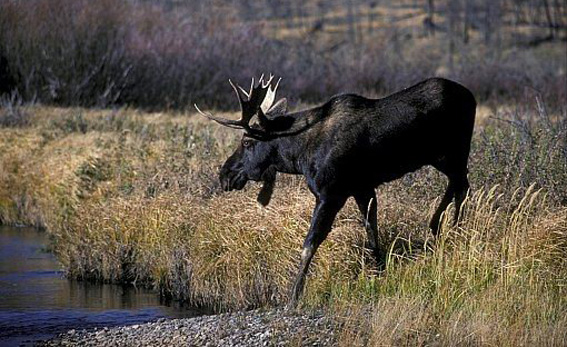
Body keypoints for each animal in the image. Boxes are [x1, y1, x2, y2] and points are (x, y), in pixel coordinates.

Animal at [197, 75, 478, 306]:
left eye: (247, 142)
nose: (225, 175)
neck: (299, 156)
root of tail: (472, 97)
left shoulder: (331, 193)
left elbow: (310, 242)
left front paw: (294, 296)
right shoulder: (363, 188)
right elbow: (371, 229)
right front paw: (379, 271)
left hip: (451, 153)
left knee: (462, 185)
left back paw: (451, 228)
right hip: (444, 158)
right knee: (458, 184)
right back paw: (440, 226)